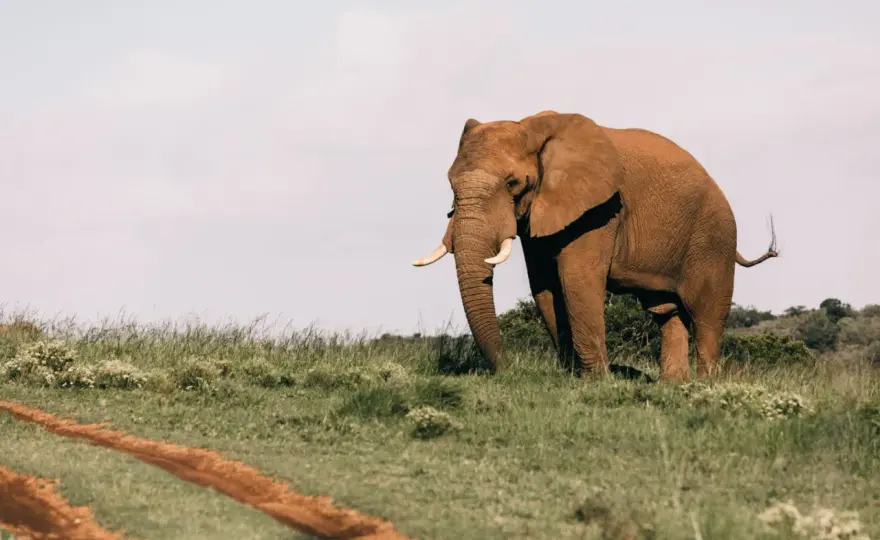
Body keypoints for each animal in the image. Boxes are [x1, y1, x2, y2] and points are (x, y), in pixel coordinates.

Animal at [411, 110, 779, 382]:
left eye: (513, 183)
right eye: (450, 183)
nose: (507, 370)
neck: (532, 127)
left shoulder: (600, 210)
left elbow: (577, 279)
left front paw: (595, 382)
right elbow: (544, 285)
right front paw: (572, 377)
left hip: (713, 238)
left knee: (707, 316)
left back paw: (704, 386)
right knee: (667, 313)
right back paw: (672, 386)